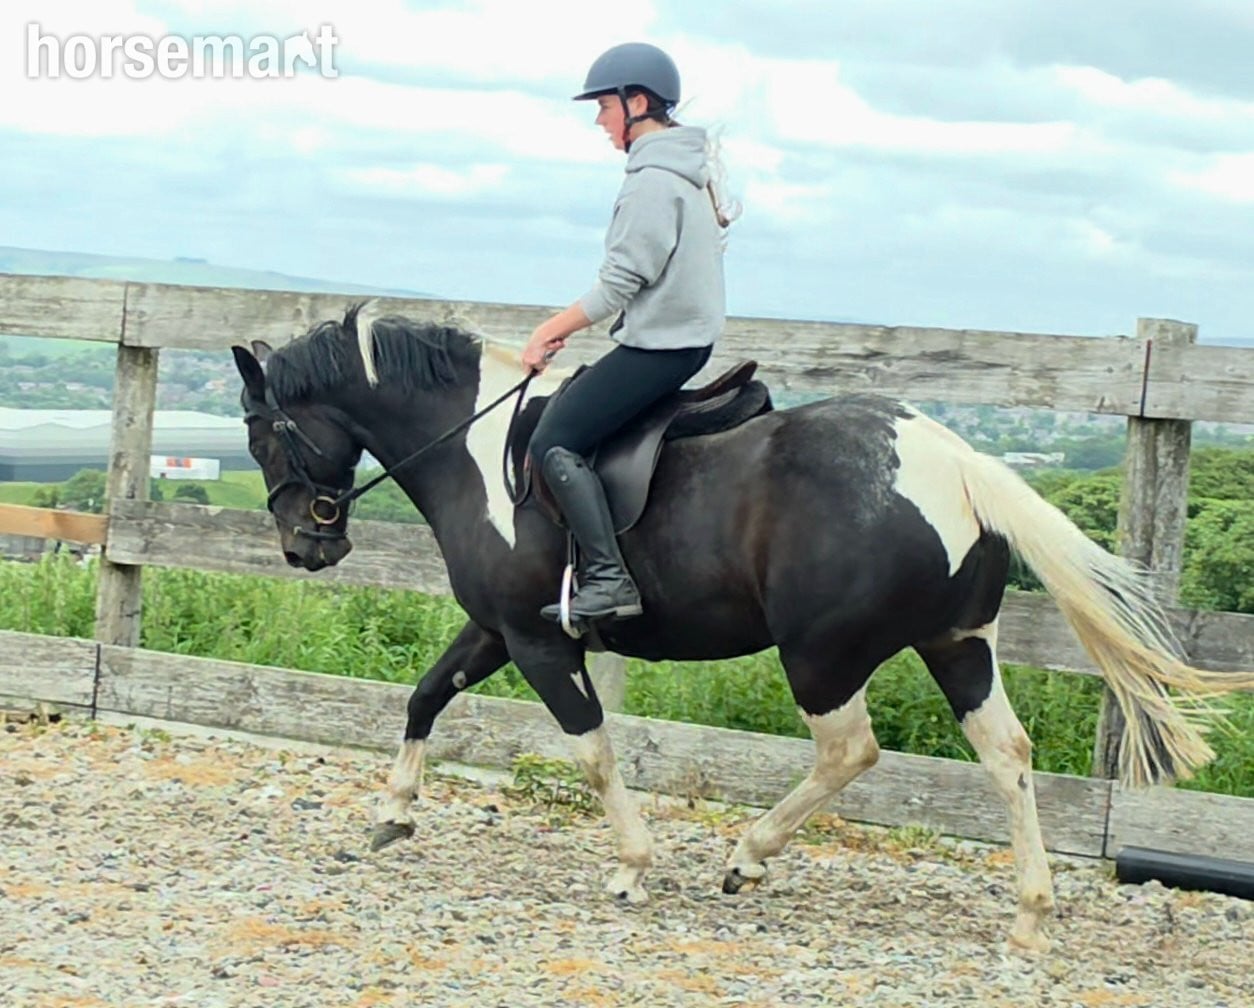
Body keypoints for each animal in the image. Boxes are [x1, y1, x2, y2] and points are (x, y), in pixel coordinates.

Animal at [231, 304, 1249, 952]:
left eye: (263, 431)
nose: (305, 546)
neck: (480, 454)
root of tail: (951, 458)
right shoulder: (496, 628)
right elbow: (424, 695)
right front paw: (392, 813)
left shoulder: (538, 639)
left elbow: (591, 750)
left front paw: (633, 867)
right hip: (958, 646)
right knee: (1009, 754)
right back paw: (1030, 915)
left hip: (822, 655)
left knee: (851, 751)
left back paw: (747, 858)